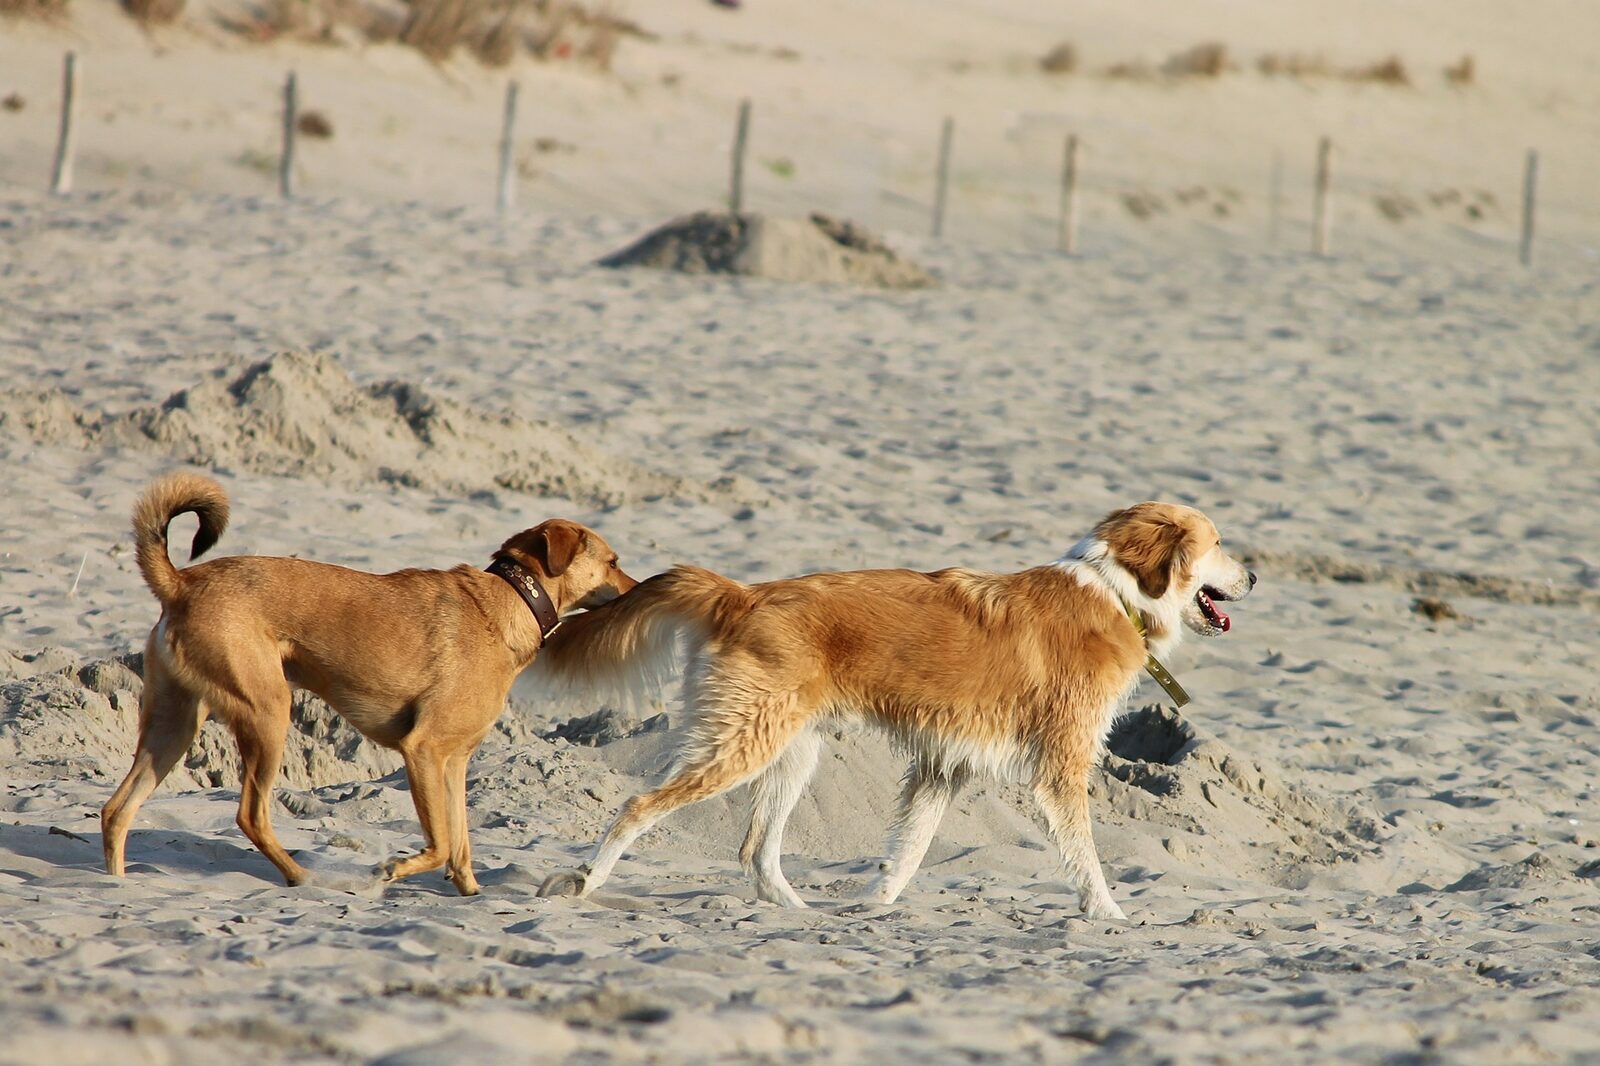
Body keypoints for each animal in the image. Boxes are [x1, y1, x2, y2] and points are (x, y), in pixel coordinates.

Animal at [98, 470, 636, 889]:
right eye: (613, 562)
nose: (638, 589)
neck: (512, 600)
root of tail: (182, 583)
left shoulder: (454, 763)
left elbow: (461, 844)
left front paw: (470, 893)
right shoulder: (424, 751)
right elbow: (442, 844)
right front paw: (393, 870)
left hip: (173, 726)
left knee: (117, 811)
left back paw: (118, 888)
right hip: (267, 713)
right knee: (250, 814)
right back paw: (299, 876)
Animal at [534, 502, 1248, 915]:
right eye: (1218, 544)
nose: (1255, 578)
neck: (1115, 591)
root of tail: (741, 594)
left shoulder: (944, 767)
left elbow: (907, 853)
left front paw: (873, 909)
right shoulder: (1059, 767)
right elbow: (1086, 859)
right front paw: (1109, 918)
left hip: (791, 749)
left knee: (757, 851)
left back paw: (798, 913)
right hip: (741, 744)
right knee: (639, 807)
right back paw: (585, 883)